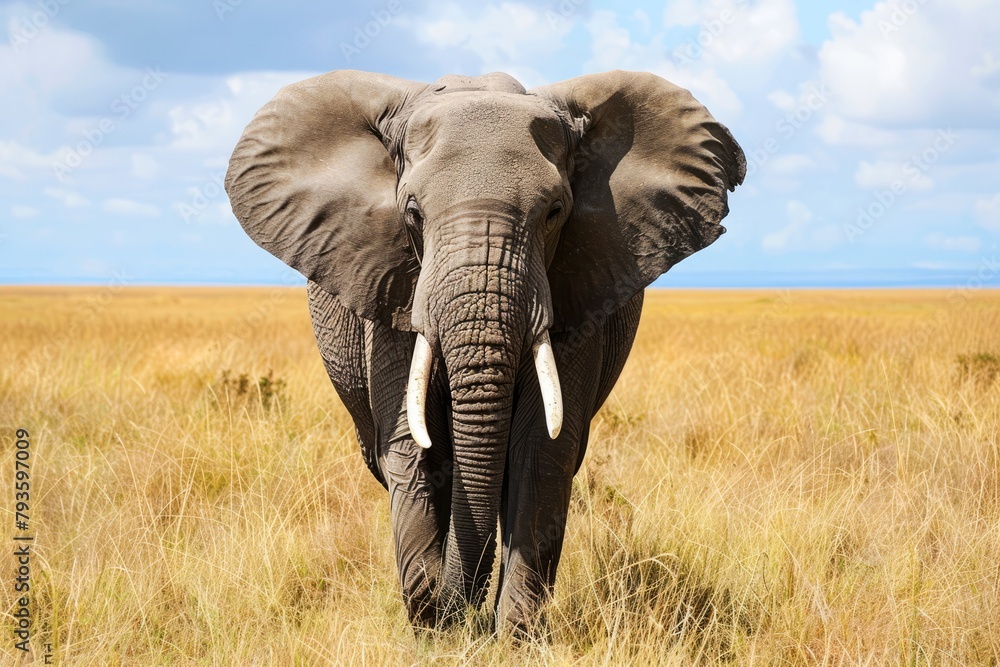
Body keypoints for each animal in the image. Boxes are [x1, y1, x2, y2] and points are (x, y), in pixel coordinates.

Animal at [225, 69, 745, 633]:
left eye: (555, 212)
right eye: (412, 213)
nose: (457, 611)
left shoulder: (577, 289)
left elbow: (541, 450)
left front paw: (513, 636)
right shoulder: (390, 287)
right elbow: (414, 448)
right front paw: (433, 629)